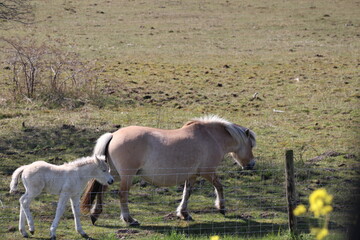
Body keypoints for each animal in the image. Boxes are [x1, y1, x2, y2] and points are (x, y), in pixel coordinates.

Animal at [81, 115, 256, 226]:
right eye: (251, 145)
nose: (252, 164)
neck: (210, 137)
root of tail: (113, 135)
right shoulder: (208, 172)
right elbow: (219, 186)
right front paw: (221, 207)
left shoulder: (192, 175)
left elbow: (187, 193)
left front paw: (184, 213)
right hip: (126, 176)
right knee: (122, 194)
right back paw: (129, 220)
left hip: (112, 175)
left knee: (101, 190)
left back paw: (95, 215)